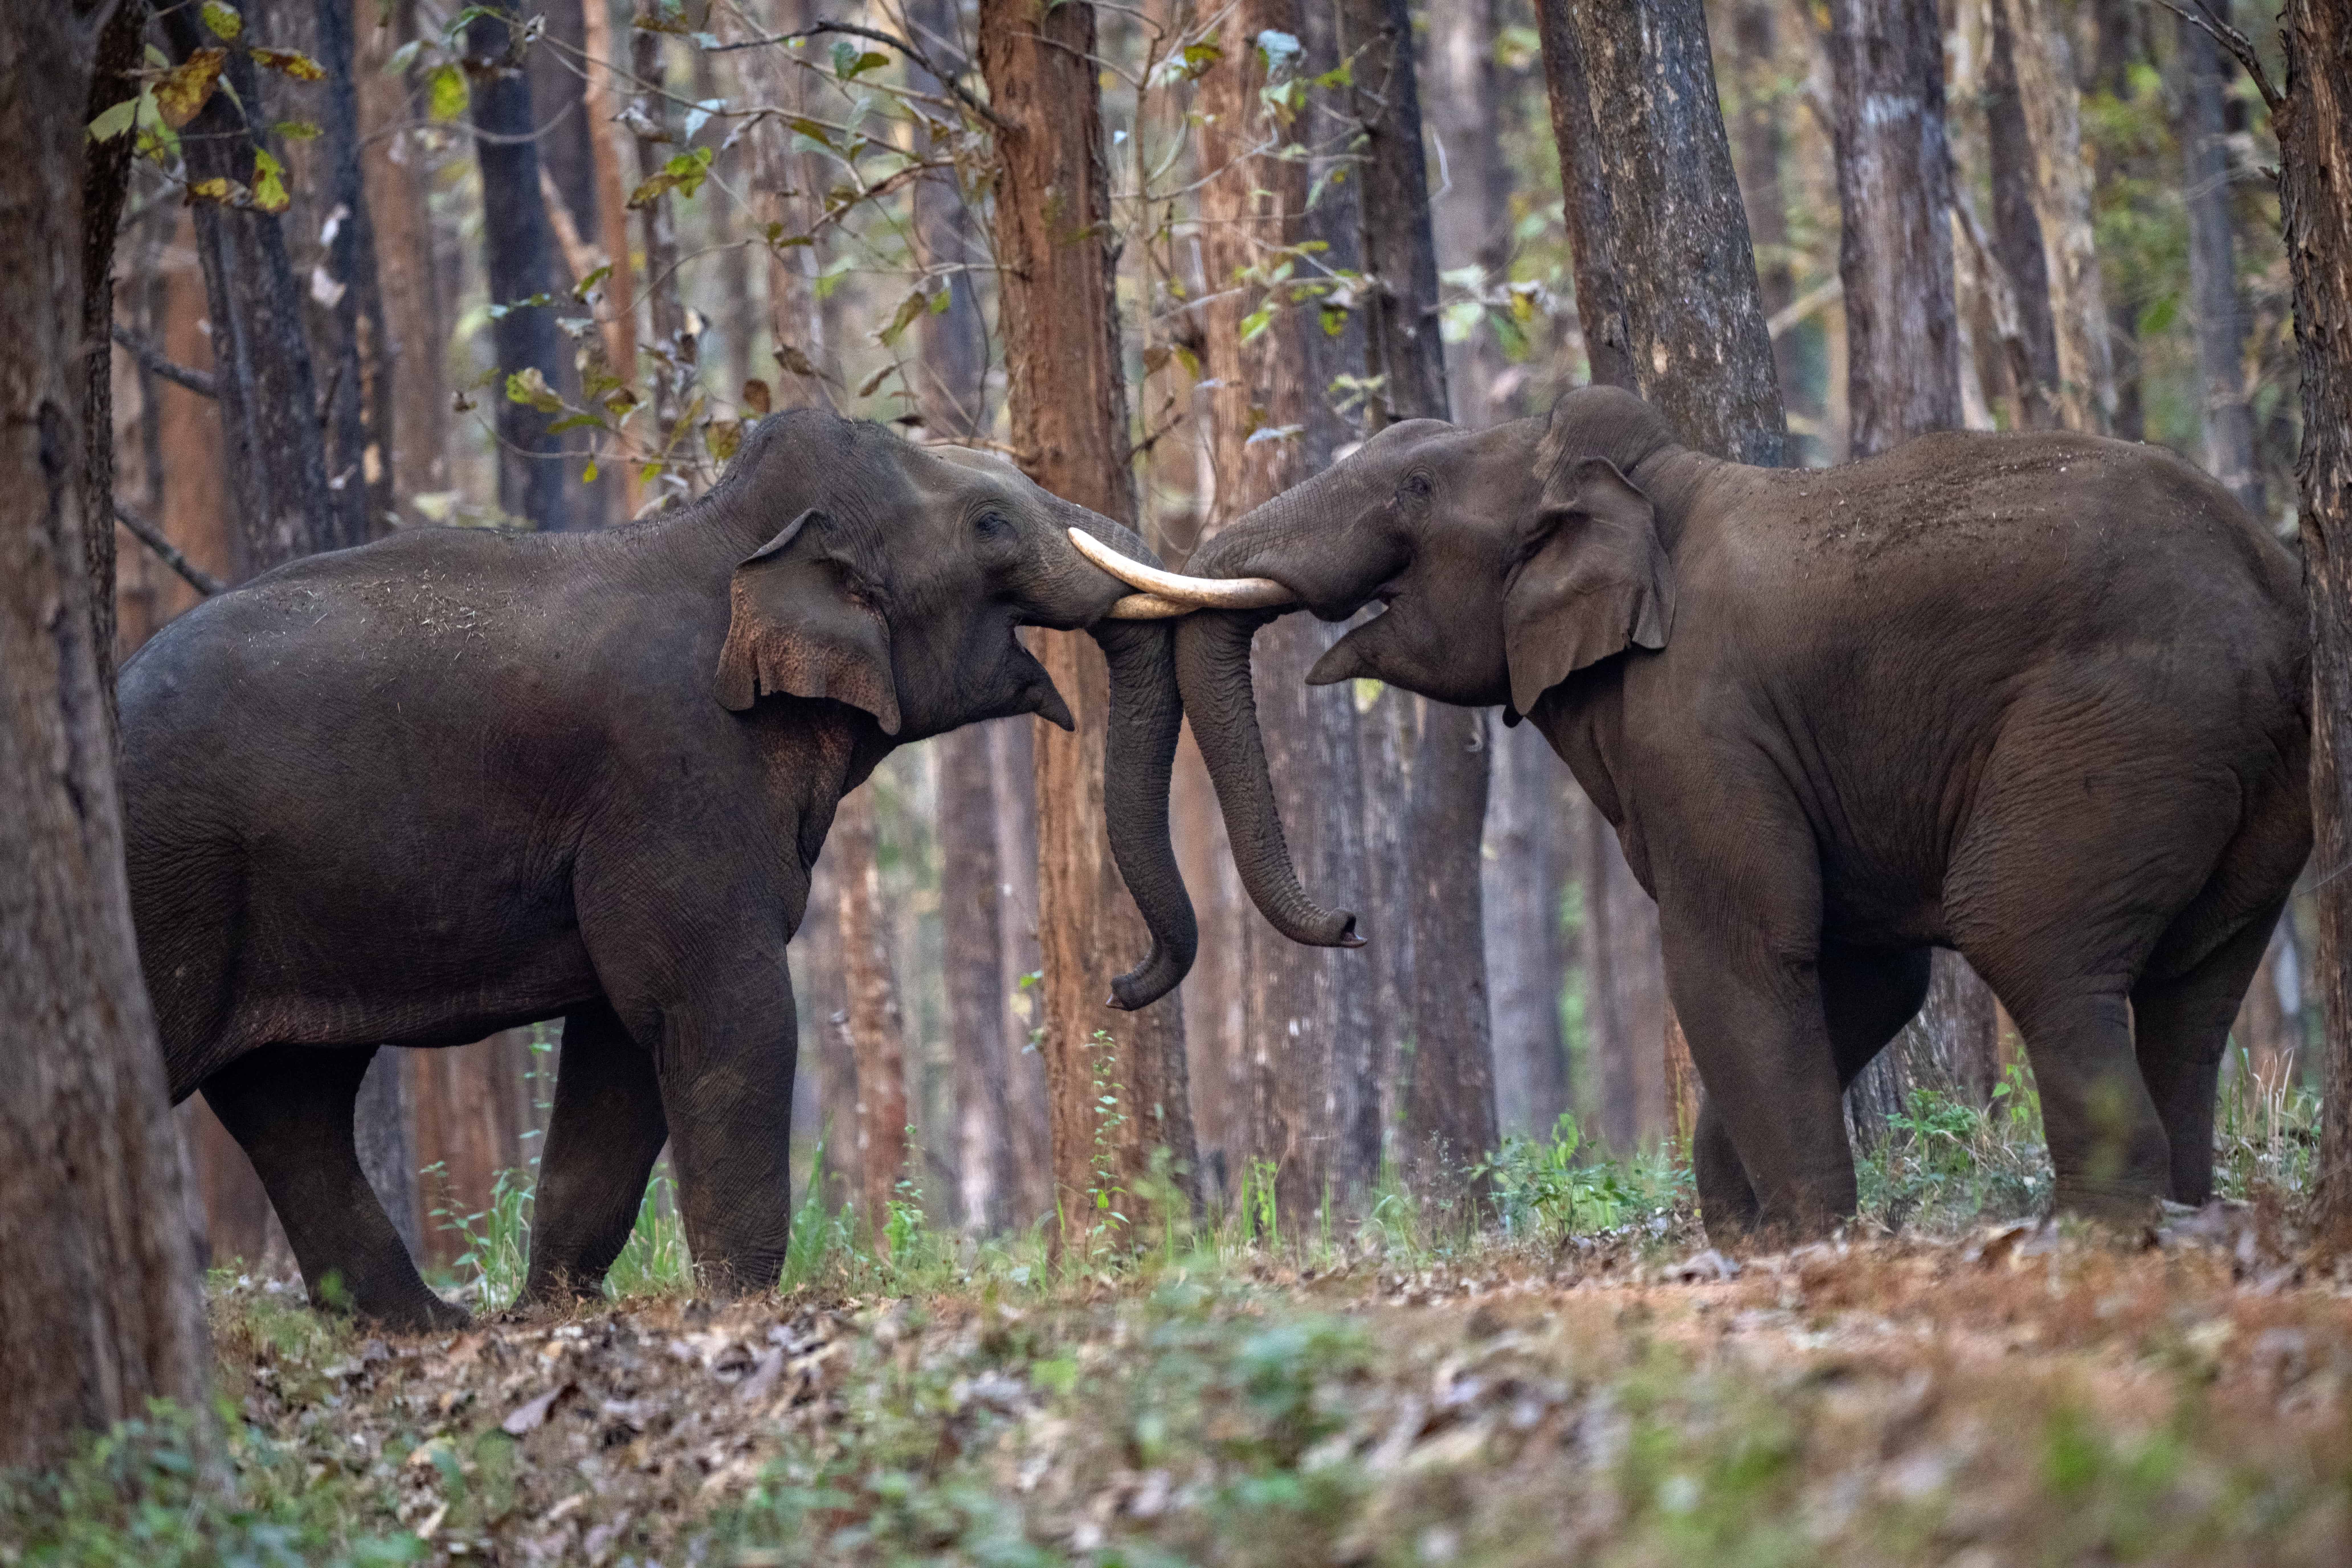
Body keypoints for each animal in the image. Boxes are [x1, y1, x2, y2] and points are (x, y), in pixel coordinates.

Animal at [120, 409, 1196, 1328]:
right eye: (990, 523)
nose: (1121, 981)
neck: (727, 540)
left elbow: (621, 1046)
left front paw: (552, 1310)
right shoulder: (672, 776)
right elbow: (721, 1009)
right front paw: (742, 1306)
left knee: (289, 1098)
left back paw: (427, 1325)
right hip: (172, 871)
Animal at [1076, 385, 2310, 1243]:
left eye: (1413, 495)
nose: (1346, 923)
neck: (1631, 480)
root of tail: (2277, 606)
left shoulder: (1699, 722)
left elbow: (1743, 952)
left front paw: (1805, 1238)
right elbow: (1864, 971)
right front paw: (1747, 1231)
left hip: (2126, 724)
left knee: (2031, 940)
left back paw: (2098, 1230)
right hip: (2252, 783)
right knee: (2195, 987)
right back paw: (2185, 1211)